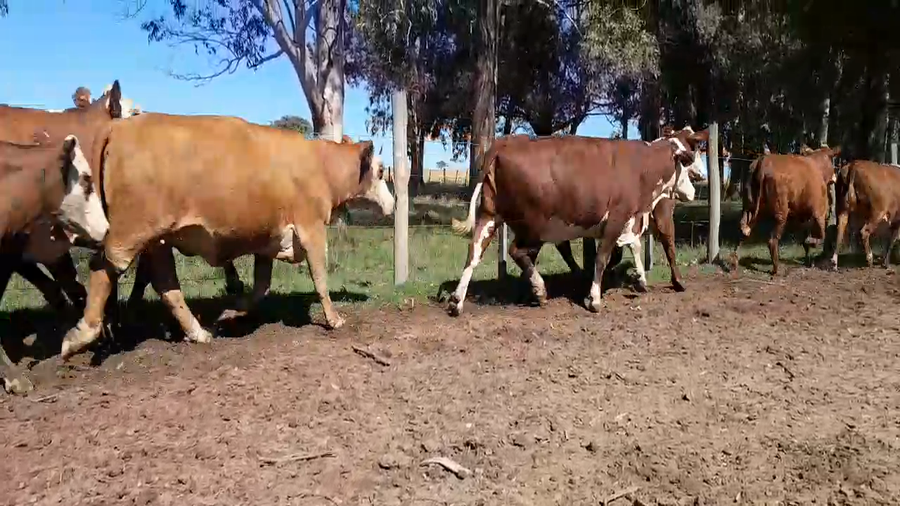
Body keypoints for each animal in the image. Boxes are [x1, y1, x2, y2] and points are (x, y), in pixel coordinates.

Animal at [59, 113, 395, 360]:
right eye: (380, 172)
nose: (392, 204)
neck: (319, 165)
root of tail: (119, 126)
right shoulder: (310, 228)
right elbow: (320, 279)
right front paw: (334, 318)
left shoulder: (268, 239)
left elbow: (261, 288)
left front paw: (231, 312)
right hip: (129, 234)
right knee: (103, 268)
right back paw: (81, 334)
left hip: (158, 241)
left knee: (167, 287)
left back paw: (198, 333)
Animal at [447, 127, 707, 316]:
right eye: (688, 160)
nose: (694, 189)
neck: (641, 167)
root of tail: (503, 143)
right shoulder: (616, 218)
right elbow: (602, 258)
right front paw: (594, 298)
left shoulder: (628, 222)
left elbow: (628, 247)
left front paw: (639, 280)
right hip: (535, 226)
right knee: (516, 251)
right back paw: (539, 288)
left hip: (489, 216)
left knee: (474, 253)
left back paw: (458, 300)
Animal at [731, 145, 839, 275]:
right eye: (832, 159)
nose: (835, 177)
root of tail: (762, 161)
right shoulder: (819, 212)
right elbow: (821, 234)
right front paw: (812, 243)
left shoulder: (800, 216)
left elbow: (804, 239)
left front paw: (808, 258)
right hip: (781, 213)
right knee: (772, 240)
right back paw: (775, 269)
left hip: (750, 208)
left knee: (743, 231)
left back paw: (734, 262)